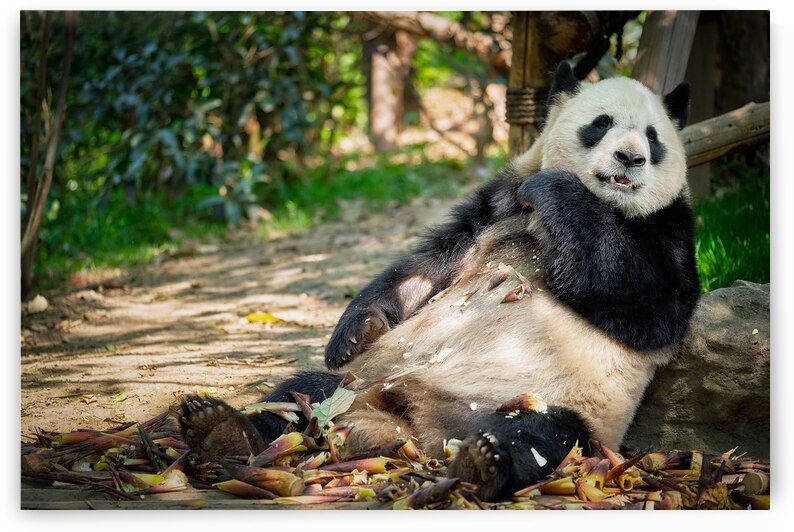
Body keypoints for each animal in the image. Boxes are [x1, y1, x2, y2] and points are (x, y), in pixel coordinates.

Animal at [179, 62, 701, 501]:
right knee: (296, 394)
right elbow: (426, 267)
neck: (606, 203)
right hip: (359, 382)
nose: (631, 158)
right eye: (601, 123)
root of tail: (413, 427)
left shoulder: (670, 229)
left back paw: (485, 462)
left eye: (653, 137)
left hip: (558, 404)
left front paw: (556, 188)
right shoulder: (494, 205)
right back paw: (220, 429)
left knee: (536, 434)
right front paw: (355, 331)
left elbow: (647, 303)